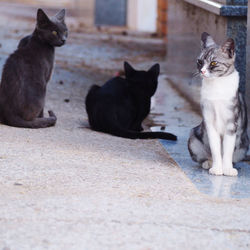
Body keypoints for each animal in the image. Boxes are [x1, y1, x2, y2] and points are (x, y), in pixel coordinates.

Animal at [188, 32, 249, 176]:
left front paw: (227, 169)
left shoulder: (231, 124)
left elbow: (227, 150)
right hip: (193, 137)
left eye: (213, 62)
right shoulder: (209, 122)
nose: (202, 71)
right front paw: (217, 168)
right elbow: (215, 149)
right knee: (203, 156)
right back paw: (208, 163)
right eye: (200, 62)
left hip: (244, 146)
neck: (216, 85)